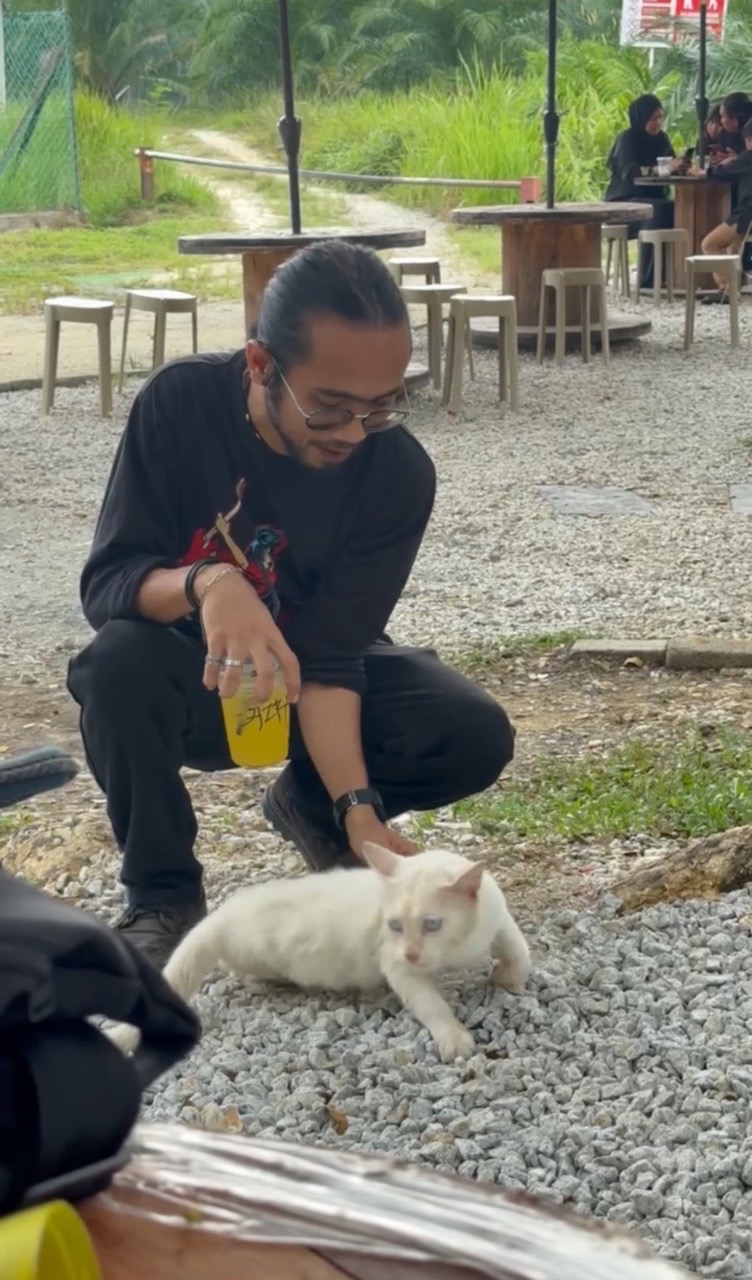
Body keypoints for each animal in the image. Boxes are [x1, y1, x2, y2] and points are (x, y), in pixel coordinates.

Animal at [108, 844, 532, 1064]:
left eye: (432, 924)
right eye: (395, 926)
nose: (412, 953)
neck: (458, 947)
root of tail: (221, 913)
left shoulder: (497, 917)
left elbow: (517, 947)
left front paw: (509, 978)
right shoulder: (398, 967)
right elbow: (432, 1003)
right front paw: (453, 1035)